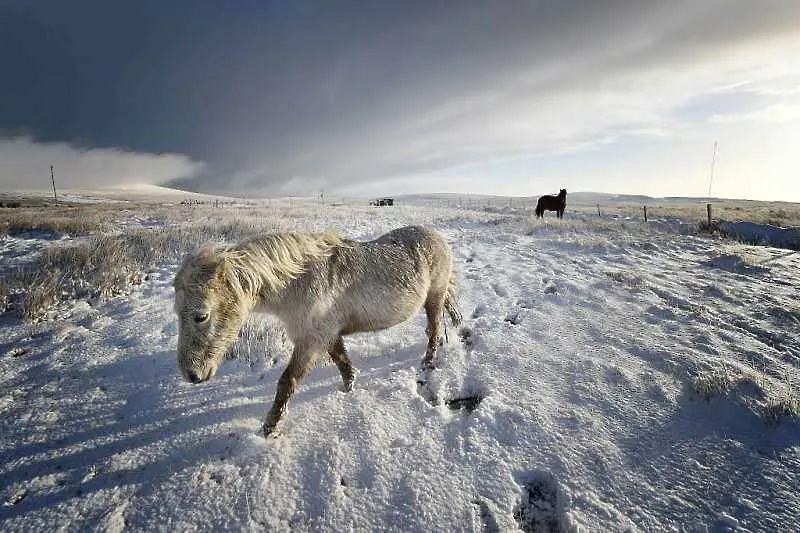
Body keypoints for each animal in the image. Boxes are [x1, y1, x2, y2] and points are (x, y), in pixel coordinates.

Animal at [175, 224, 462, 436]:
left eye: (201, 316)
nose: (192, 374)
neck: (298, 282)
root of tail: (437, 237)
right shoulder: (327, 335)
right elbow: (342, 362)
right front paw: (348, 389)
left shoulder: (311, 341)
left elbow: (287, 382)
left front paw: (269, 428)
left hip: (434, 298)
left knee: (434, 330)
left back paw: (428, 361)